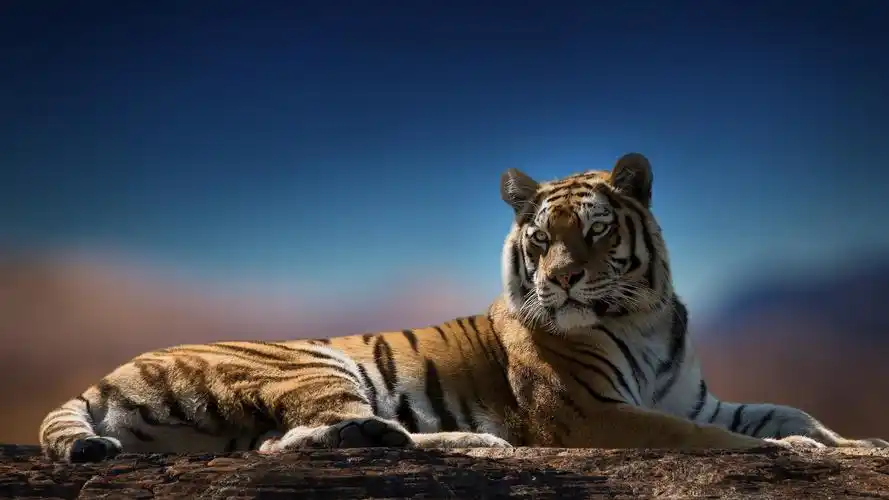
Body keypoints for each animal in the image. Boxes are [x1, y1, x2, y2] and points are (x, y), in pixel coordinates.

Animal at [39, 152, 888, 463]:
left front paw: (852, 443)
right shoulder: (590, 412)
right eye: (540, 238)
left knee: (287, 443)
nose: (561, 281)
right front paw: (795, 453)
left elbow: (784, 411)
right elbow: (705, 437)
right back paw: (477, 443)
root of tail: (107, 376)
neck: (639, 315)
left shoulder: (693, 395)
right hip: (311, 361)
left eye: (593, 231)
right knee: (314, 435)